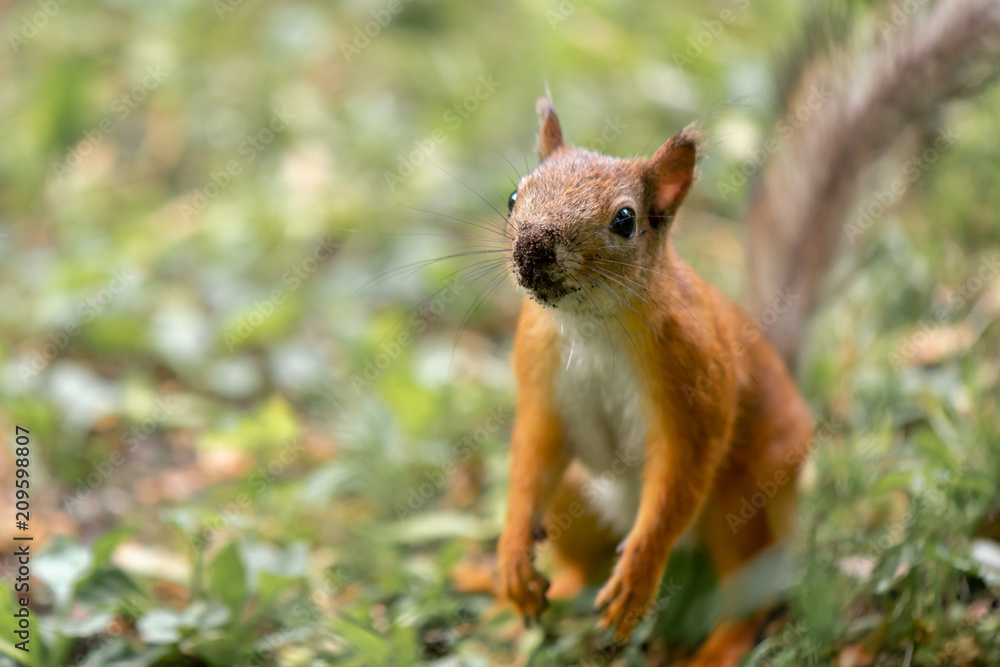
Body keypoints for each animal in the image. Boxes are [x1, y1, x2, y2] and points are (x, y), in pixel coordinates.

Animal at [451, 0, 1000, 663]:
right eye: (514, 197)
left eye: (625, 220)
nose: (532, 251)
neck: (591, 326)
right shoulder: (539, 372)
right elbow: (532, 453)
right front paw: (509, 555)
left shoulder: (695, 372)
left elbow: (681, 472)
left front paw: (638, 575)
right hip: (577, 499)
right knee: (576, 556)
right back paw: (515, 606)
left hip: (744, 506)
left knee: (748, 593)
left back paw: (716, 644)